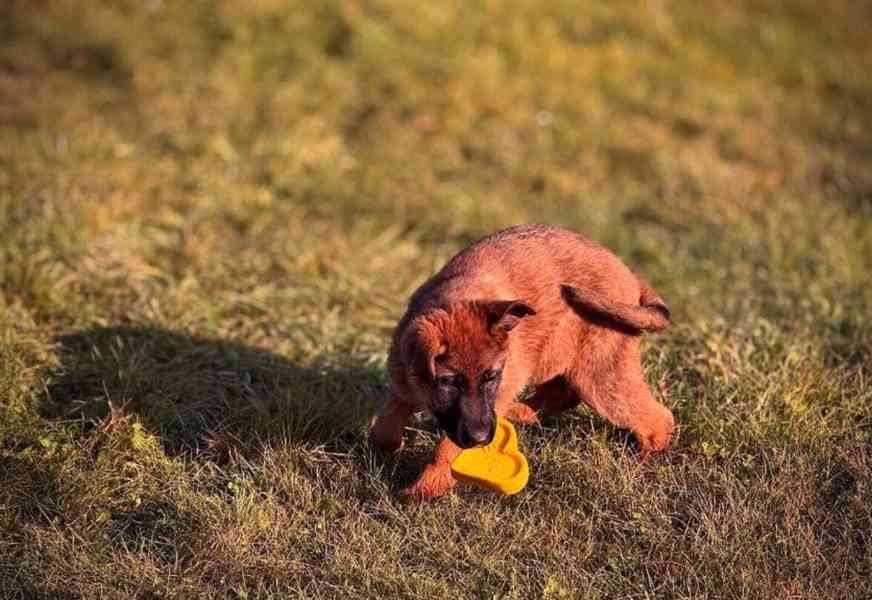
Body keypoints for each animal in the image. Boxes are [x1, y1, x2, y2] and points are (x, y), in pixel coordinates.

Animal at [368, 223, 676, 500]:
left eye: (491, 377)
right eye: (447, 382)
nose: (482, 439)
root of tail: (631, 276)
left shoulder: (499, 390)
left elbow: (447, 449)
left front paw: (426, 488)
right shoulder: (402, 383)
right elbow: (385, 426)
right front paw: (388, 450)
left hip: (600, 373)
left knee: (657, 417)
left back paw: (644, 458)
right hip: (559, 357)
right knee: (563, 394)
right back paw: (521, 412)